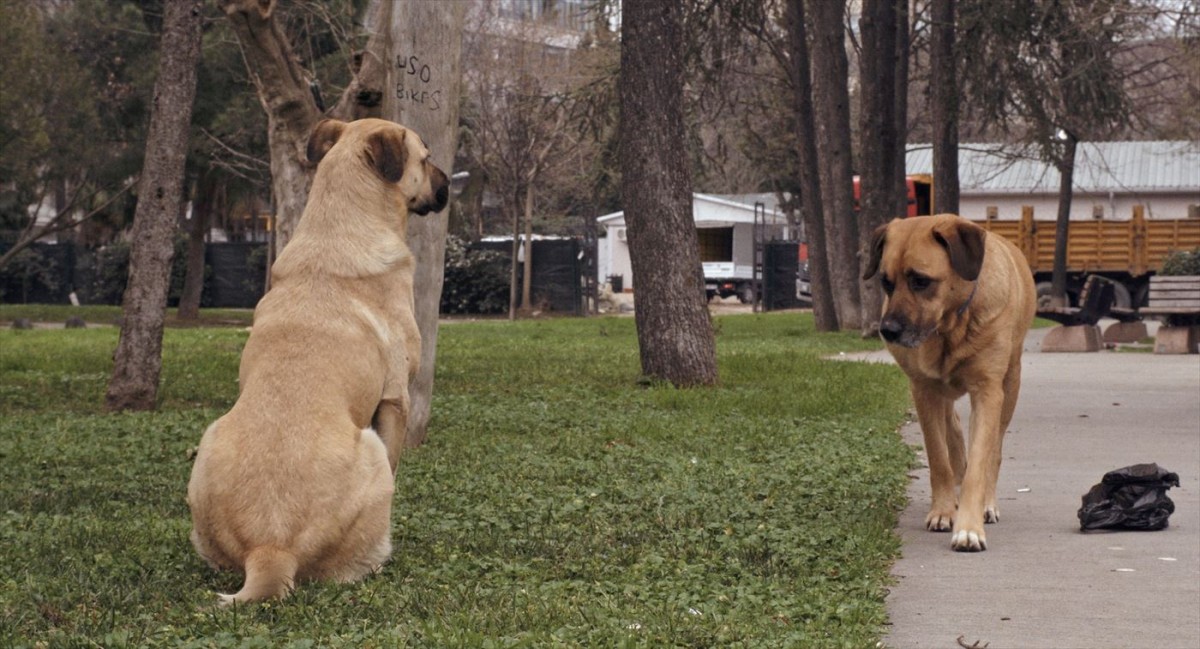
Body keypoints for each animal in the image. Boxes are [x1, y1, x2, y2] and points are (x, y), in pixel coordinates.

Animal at [184, 117, 448, 602]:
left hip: (208, 442)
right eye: (425, 158)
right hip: (372, 450)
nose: (448, 186)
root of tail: (270, 551)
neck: (339, 226)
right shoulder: (395, 400)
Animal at [864, 214, 1041, 549]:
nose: (887, 330)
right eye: (886, 282)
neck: (952, 325)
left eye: (921, 281)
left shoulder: (988, 390)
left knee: (993, 450)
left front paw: (969, 527)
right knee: (953, 430)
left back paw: (987, 502)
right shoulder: (923, 390)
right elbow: (938, 458)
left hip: (1011, 382)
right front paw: (944, 511)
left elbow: (981, 461)